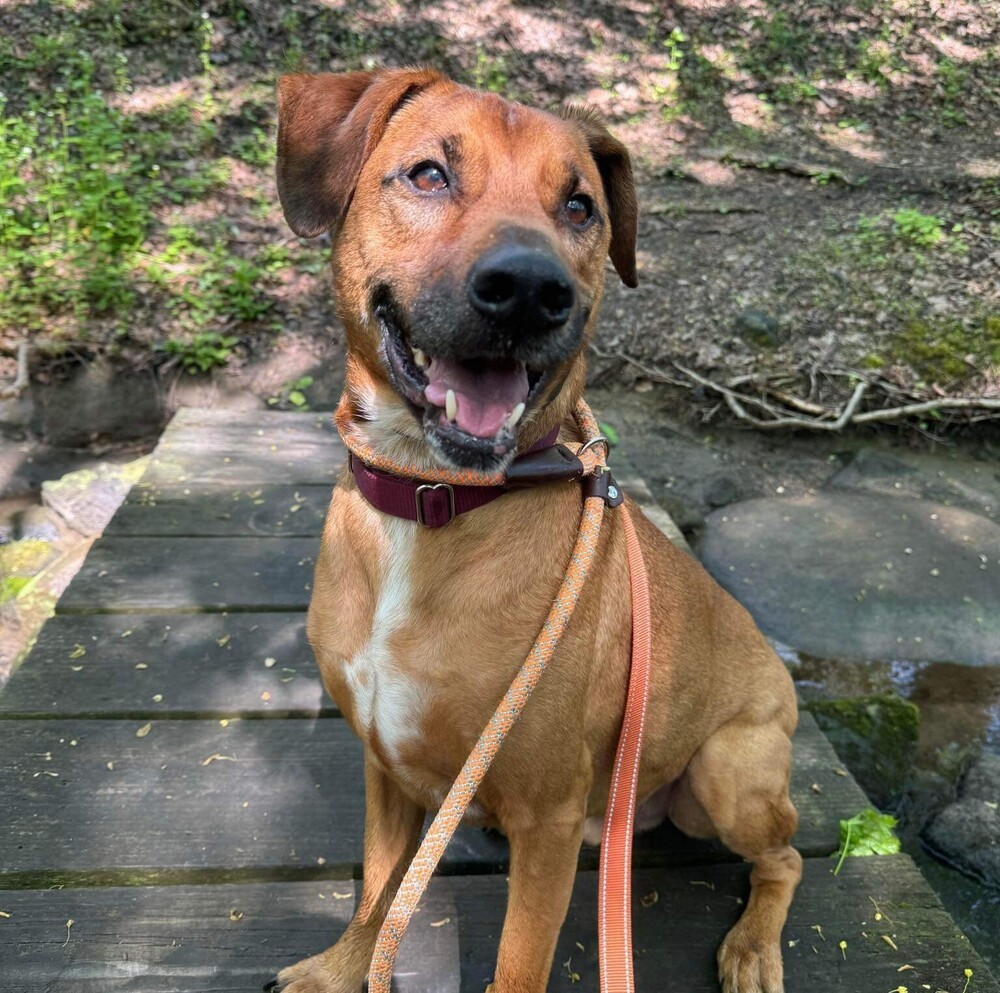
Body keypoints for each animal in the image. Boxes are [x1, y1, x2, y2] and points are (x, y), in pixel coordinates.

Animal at [270, 70, 800, 992]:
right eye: (428, 174)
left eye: (580, 206)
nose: (528, 288)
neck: (434, 496)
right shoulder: (382, 765)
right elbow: (378, 891)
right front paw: (341, 968)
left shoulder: (548, 818)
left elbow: (518, 960)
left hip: (727, 772)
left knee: (788, 856)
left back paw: (753, 946)